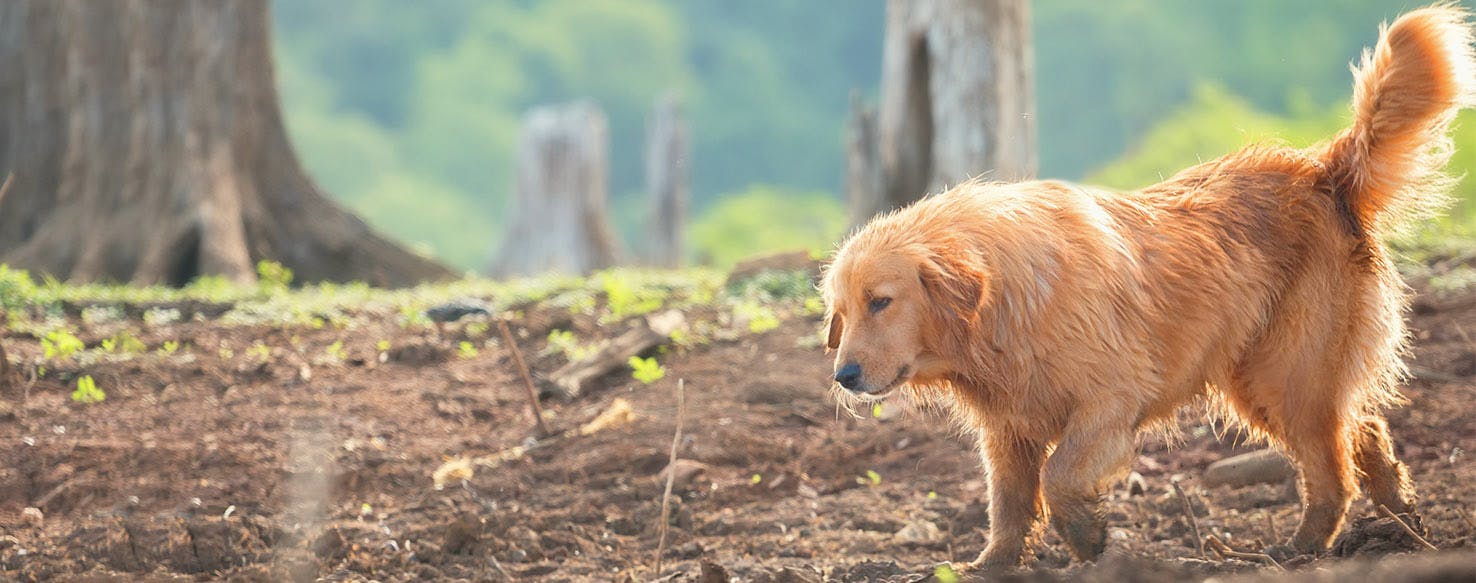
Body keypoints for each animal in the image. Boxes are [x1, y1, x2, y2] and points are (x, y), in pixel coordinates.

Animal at [820, 4, 1476, 569]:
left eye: (881, 301)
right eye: (842, 313)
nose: (843, 376)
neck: (1004, 304)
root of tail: (1323, 169)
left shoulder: (1109, 404)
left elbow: (1059, 476)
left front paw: (1088, 536)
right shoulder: (1009, 429)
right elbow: (1008, 502)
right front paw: (993, 564)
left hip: (1284, 375)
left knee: (1332, 471)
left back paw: (1301, 549)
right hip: (1271, 379)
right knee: (1363, 429)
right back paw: (1401, 521)